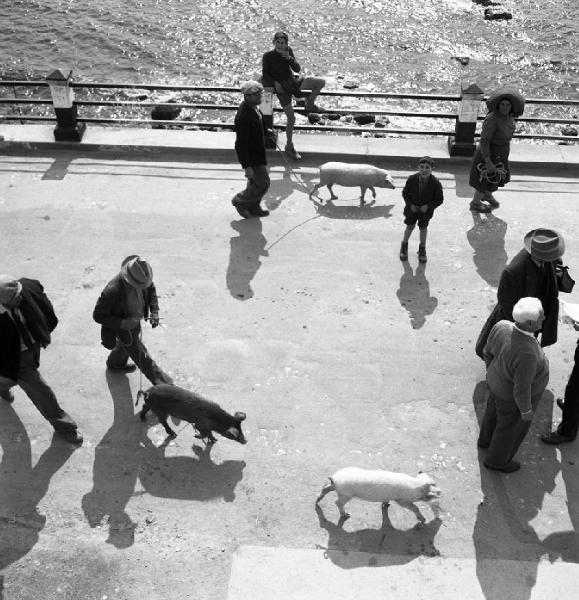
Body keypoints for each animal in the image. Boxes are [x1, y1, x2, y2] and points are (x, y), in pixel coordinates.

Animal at [314, 466, 442, 524]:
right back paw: (346, 515)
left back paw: (317, 501)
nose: (441, 492)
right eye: (434, 485)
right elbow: (414, 507)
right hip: (346, 494)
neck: (417, 486)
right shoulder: (402, 500)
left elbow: (386, 501)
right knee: (337, 502)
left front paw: (386, 505)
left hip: (337, 489)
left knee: (325, 488)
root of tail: (335, 478)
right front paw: (423, 520)